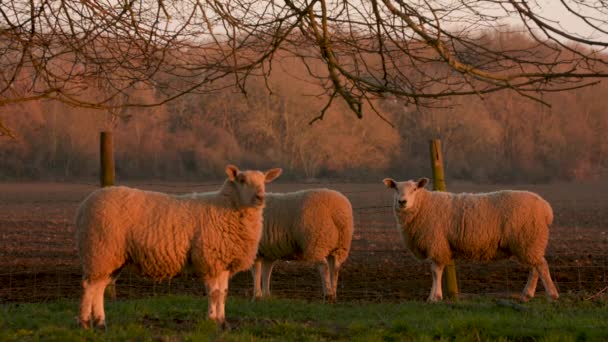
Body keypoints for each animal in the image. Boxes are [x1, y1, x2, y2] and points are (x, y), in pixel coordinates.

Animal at [76, 164, 282, 330]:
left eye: (264, 181)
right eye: (241, 180)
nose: (260, 197)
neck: (227, 208)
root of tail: (84, 205)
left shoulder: (222, 261)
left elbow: (223, 293)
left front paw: (223, 322)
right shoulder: (209, 258)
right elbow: (214, 293)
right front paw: (212, 320)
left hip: (109, 256)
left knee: (99, 287)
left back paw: (100, 323)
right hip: (99, 249)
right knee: (89, 286)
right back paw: (86, 323)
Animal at [382, 178, 560, 300]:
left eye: (414, 189)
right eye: (395, 188)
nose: (402, 202)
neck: (423, 205)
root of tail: (547, 209)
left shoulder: (437, 243)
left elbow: (435, 271)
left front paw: (434, 297)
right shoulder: (440, 245)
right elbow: (435, 271)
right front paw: (433, 296)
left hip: (528, 239)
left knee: (541, 266)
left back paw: (552, 295)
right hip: (531, 242)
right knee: (535, 267)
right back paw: (527, 295)